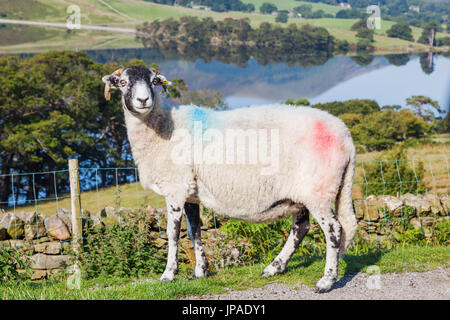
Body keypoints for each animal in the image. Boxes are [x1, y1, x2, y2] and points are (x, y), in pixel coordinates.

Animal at [103, 66, 358, 294]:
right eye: (123, 83)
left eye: (154, 81)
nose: (143, 100)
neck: (163, 127)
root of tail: (346, 135)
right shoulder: (190, 192)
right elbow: (194, 230)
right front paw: (200, 271)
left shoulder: (175, 187)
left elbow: (172, 233)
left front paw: (168, 274)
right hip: (303, 193)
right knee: (301, 228)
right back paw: (274, 268)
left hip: (319, 190)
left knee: (334, 230)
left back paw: (326, 281)